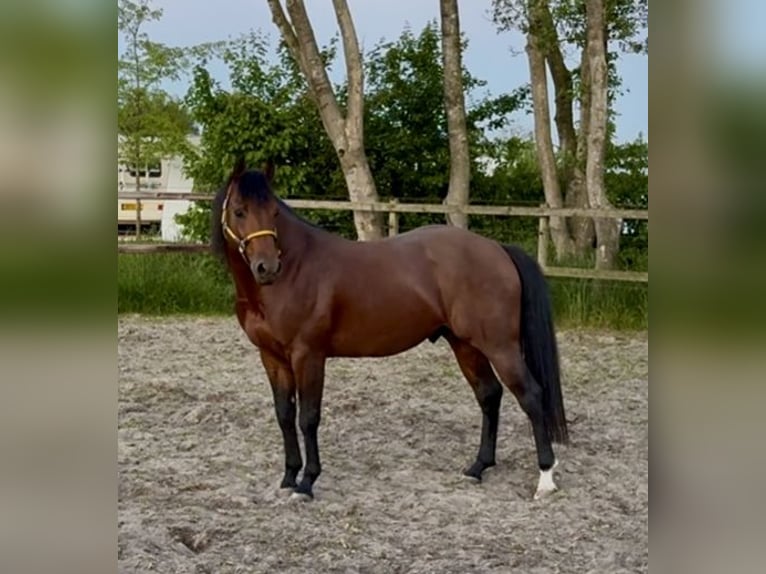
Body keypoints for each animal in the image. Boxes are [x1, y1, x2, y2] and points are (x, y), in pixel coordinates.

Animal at [211, 159, 568, 501]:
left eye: (273, 212)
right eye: (239, 211)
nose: (267, 268)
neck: (294, 271)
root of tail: (497, 249)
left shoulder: (307, 356)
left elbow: (308, 418)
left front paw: (307, 483)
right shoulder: (272, 357)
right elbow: (284, 415)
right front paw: (288, 478)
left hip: (500, 347)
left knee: (531, 396)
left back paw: (545, 479)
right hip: (465, 345)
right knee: (489, 394)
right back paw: (478, 467)